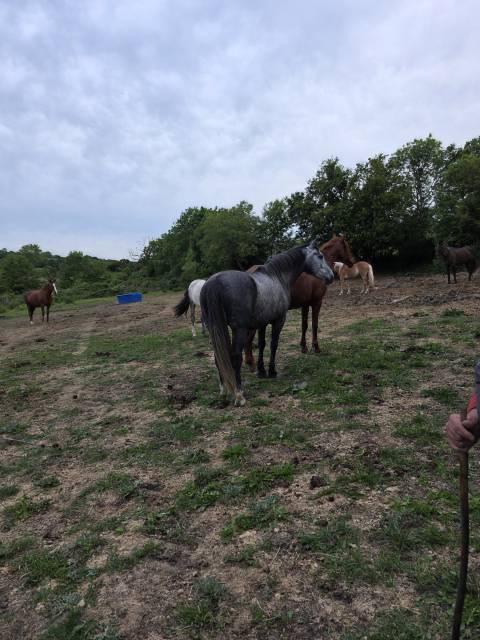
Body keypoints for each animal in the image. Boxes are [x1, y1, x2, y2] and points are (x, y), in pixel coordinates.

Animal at [201, 241, 334, 406]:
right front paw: (272, 371)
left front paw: (262, 371)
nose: (331, 276)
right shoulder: (279, 320)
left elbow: (262, 344)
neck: (277, 277)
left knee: (218, 358)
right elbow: (273, 344)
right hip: (239, 329)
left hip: (215, 329)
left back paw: (223, 392)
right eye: (320, 256)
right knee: (235, 357)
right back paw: (239, 395)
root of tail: (214, 283)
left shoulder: (262, 323)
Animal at [244, 234, 354, 370]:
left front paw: (303, 346)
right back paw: (250, 361)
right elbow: (314, 325)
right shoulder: (317, 302)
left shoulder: (305, 305)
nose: (352, 261)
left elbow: (304, 325)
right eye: (346, 246)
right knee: (248, 337)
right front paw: (316, 347)